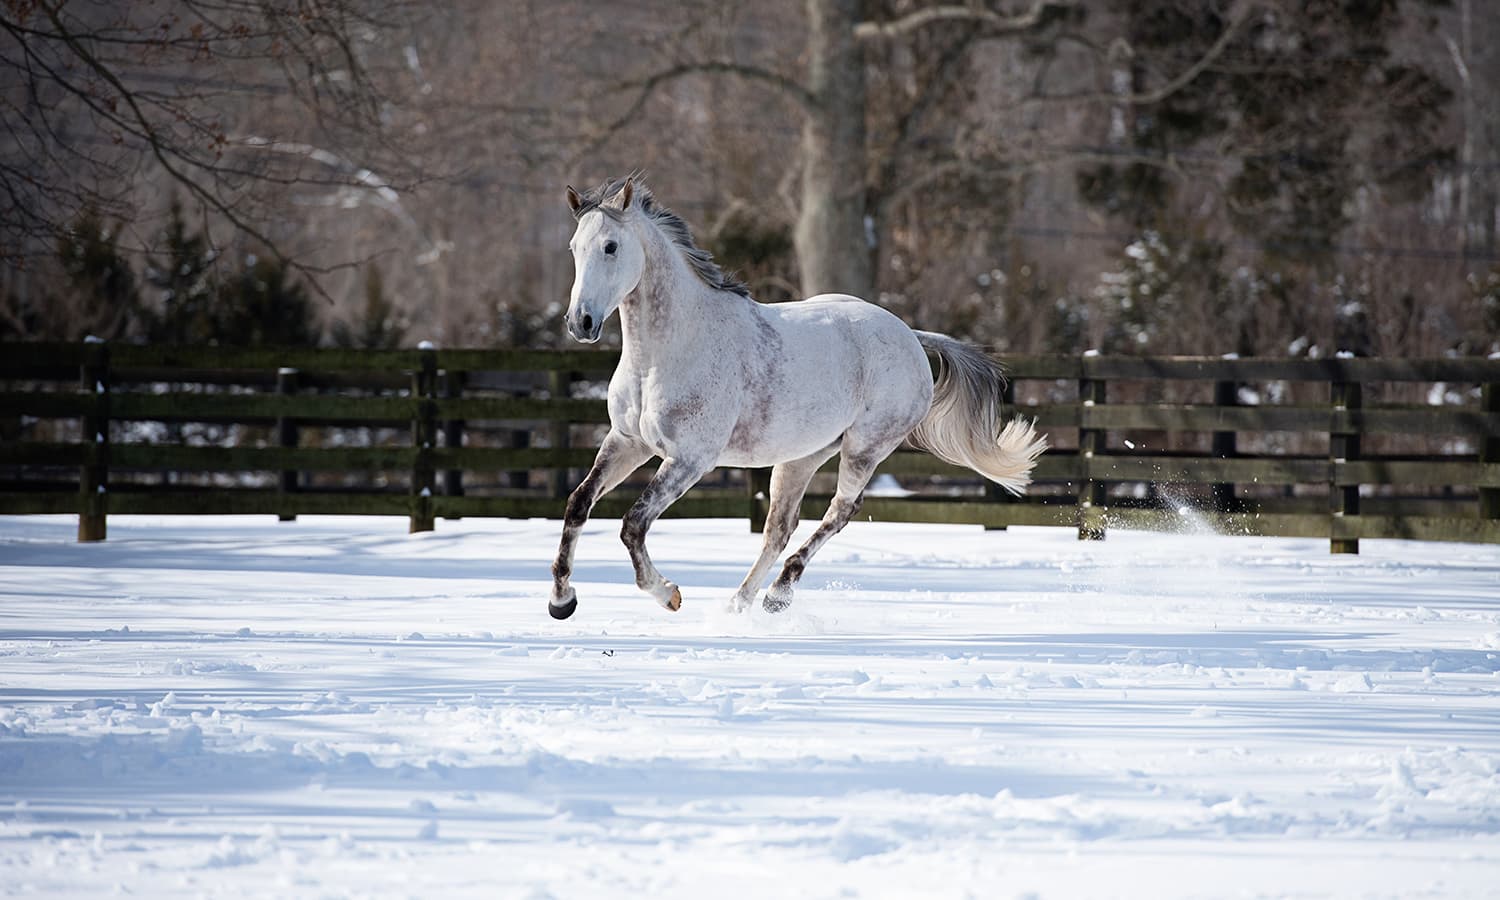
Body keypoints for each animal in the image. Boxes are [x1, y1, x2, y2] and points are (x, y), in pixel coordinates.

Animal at [548, 177, 1047, 620]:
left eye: (611, 246)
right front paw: (561, 602)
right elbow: (578, 504)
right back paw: (739, 605)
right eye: (572, 248)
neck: (662, 355)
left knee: (840, 512)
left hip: (865, 448)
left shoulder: (689, 459)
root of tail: (909, 334)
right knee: (778, 529)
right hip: (801, 456)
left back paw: (776, 595)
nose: (581, 322)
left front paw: (667, 593)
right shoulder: (627, 442)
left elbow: (633, 523)